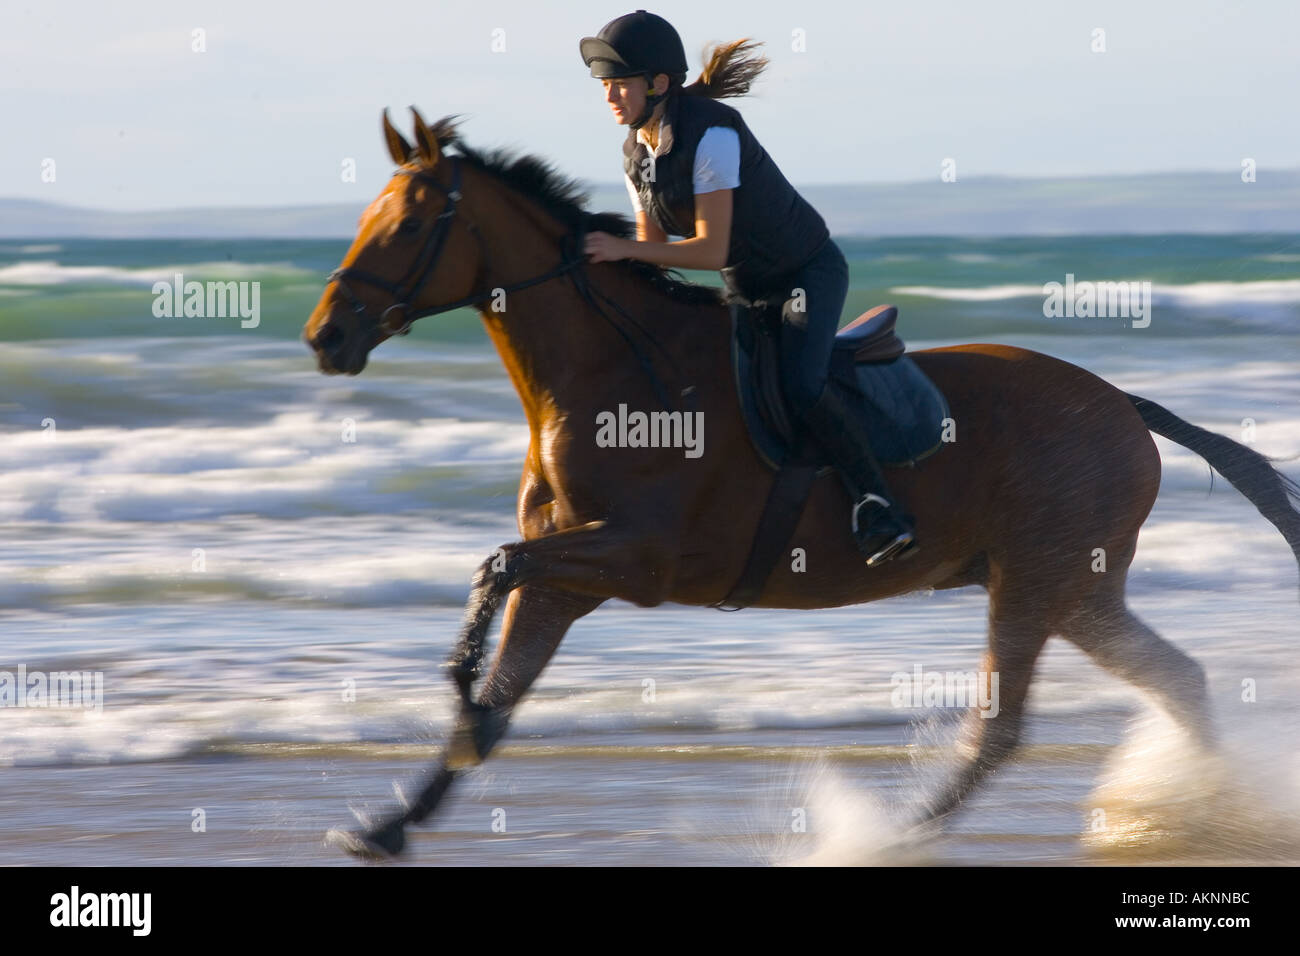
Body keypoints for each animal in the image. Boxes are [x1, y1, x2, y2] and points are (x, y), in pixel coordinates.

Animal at [303, 108, 1300, 858]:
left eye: (407, 223)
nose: (325, 336)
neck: (611, 375)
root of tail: (1124, 404)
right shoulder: (571, 581)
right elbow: (506, 672)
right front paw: (394, 820)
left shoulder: (635, 562)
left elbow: (497, 566)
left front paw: (456, 702)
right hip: (1077, 591)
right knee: (1177, 679)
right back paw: (1213, 811)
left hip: (1036, 581)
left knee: (1002, 729)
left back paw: (885, 835)